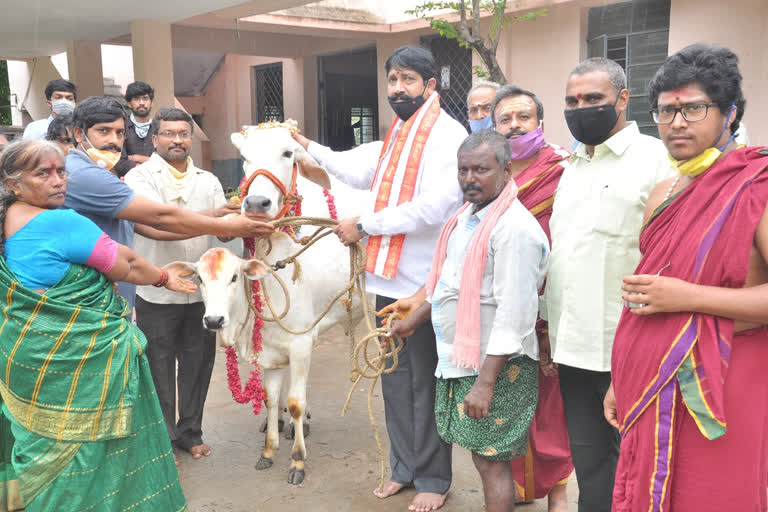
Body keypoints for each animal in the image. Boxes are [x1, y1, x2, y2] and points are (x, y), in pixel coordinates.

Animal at [178, 124, 368, 484]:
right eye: (244, 156)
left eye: (288, 152)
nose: (255, 203)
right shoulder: (272, 349)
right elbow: (270, 397)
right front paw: (269, 447)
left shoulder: (301, 342)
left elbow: (294, 401)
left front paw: (297, 460)